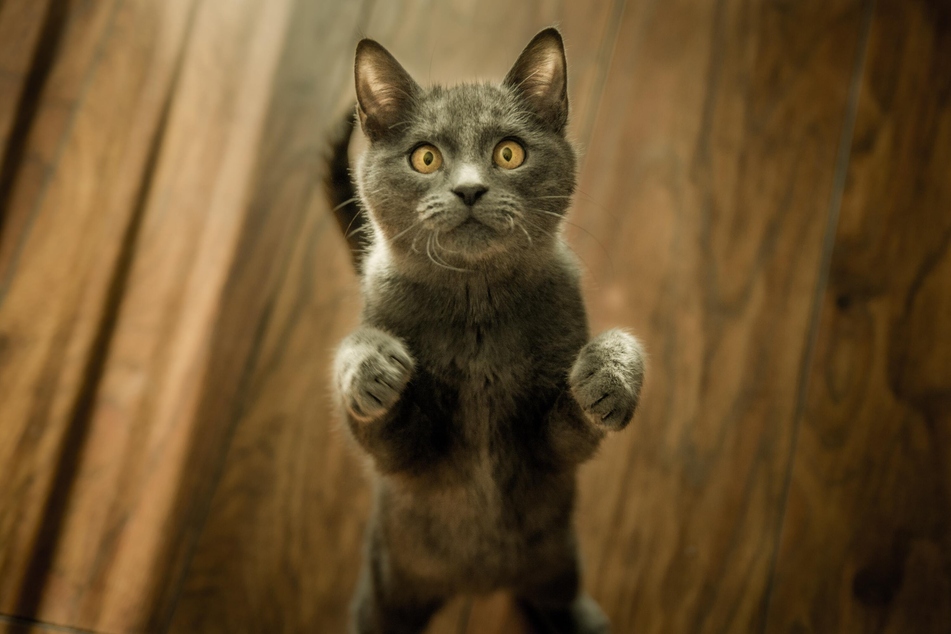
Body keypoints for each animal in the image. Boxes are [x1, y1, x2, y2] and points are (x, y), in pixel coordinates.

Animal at [328, 28, 648, 632]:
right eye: (425, 157)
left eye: (509, 152)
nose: (470, 189)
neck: (476, 311)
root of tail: (479, 584)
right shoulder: (405, 462)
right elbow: (378, 426)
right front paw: (372, 367)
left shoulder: (550, 454)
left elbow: (576, 424)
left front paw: (611, 375)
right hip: (387, 582)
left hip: (557, 559)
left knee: (559, 596)